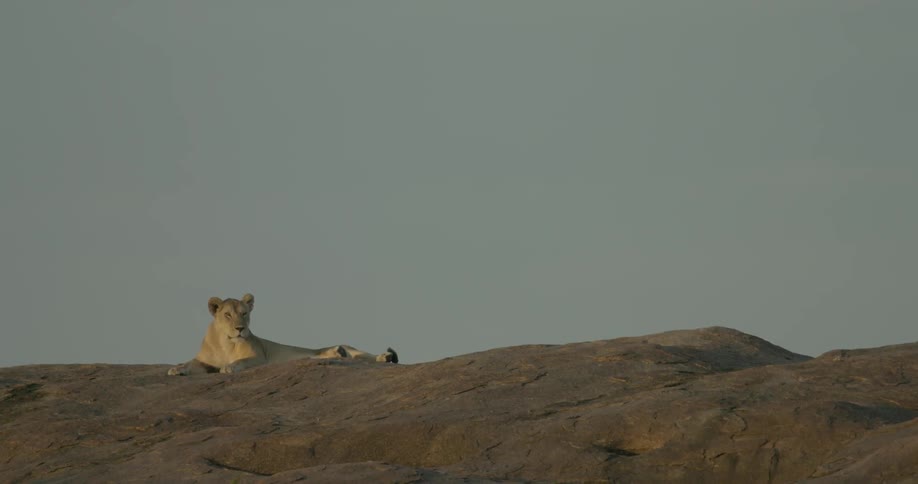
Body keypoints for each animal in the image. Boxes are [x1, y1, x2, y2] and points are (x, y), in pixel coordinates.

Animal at [167, 293, 398, 376]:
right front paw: (176, 369)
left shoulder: (259, 357)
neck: (226, 342)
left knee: (366, 356)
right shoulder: (204, 361)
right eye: (227, 315)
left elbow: (240, 361)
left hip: (353, 349)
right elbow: (190, 363)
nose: (240, 329)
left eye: (244, 313)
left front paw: (229, 367)